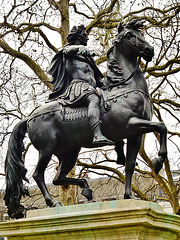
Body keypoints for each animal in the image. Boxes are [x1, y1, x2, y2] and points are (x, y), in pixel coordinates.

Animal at [3, 18, 167, 218]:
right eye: (129, 35)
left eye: (141, 33)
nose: (149, 50)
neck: (124, 88)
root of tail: (29, 117)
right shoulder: (132, 125)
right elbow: (161, 126)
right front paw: (158, 162)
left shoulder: (135, 134)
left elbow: (130, 164)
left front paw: (130, 196)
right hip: (47, 148)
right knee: (38, 175)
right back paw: (54, 202)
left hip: (70, 152)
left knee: (58, 178)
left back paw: (86, 189)